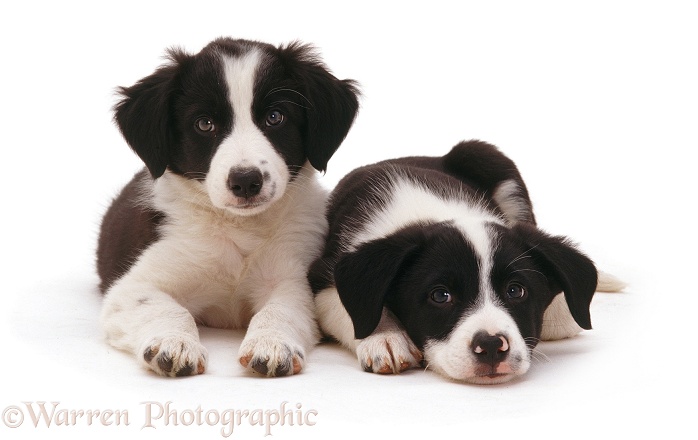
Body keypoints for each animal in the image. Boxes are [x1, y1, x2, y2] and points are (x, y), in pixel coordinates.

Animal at [96, 37, 358, 378]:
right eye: (205, 124)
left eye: (275, 117)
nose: (246, 181)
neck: (238, 227)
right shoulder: (131, 287)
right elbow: (165, 308)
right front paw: (173, 343)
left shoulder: (292, 277)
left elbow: (281, 309)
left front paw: (273, 344)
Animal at [308, 142, 608, 384]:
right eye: (440, 295)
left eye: (516, 291)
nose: (491, 345)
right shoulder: (323, 274)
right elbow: (351, 305)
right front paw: (384, 337)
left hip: (487, 156)